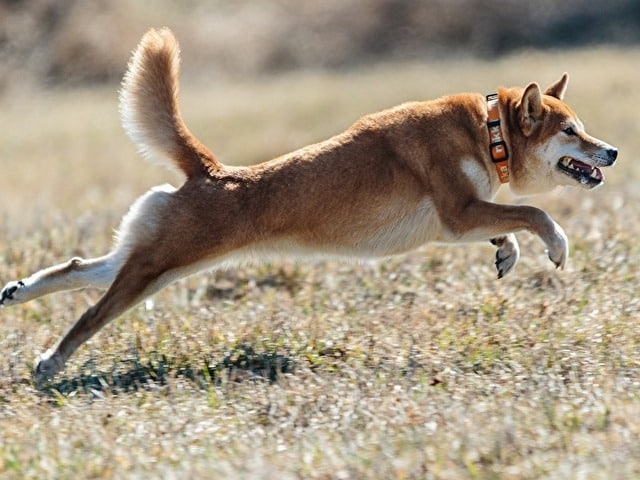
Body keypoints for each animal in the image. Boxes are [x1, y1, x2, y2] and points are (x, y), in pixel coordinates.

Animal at [1, 28, 620, 384]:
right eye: (571, 131)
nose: (612, 151)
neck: (486, 133)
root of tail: (211, 171)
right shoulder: (457, 214)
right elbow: (535, 215)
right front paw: (555, 246)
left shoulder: (461, 218)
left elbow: (510, 223)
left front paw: (506, 253)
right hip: (157, 267)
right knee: (88, 314)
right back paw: (49, 364)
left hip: (152, 261)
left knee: (80, 269)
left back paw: (16, 292)